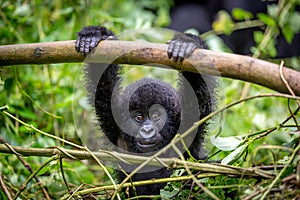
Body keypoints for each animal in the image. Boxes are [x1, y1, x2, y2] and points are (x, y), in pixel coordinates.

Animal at [76, 26, 214, 197]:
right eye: (139, 118)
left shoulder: (188, 123)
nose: (147, 129)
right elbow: (102, 83)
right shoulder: (114, 121)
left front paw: (186, 43)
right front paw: (93, 36)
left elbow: (198, 92)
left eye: (156, 116)